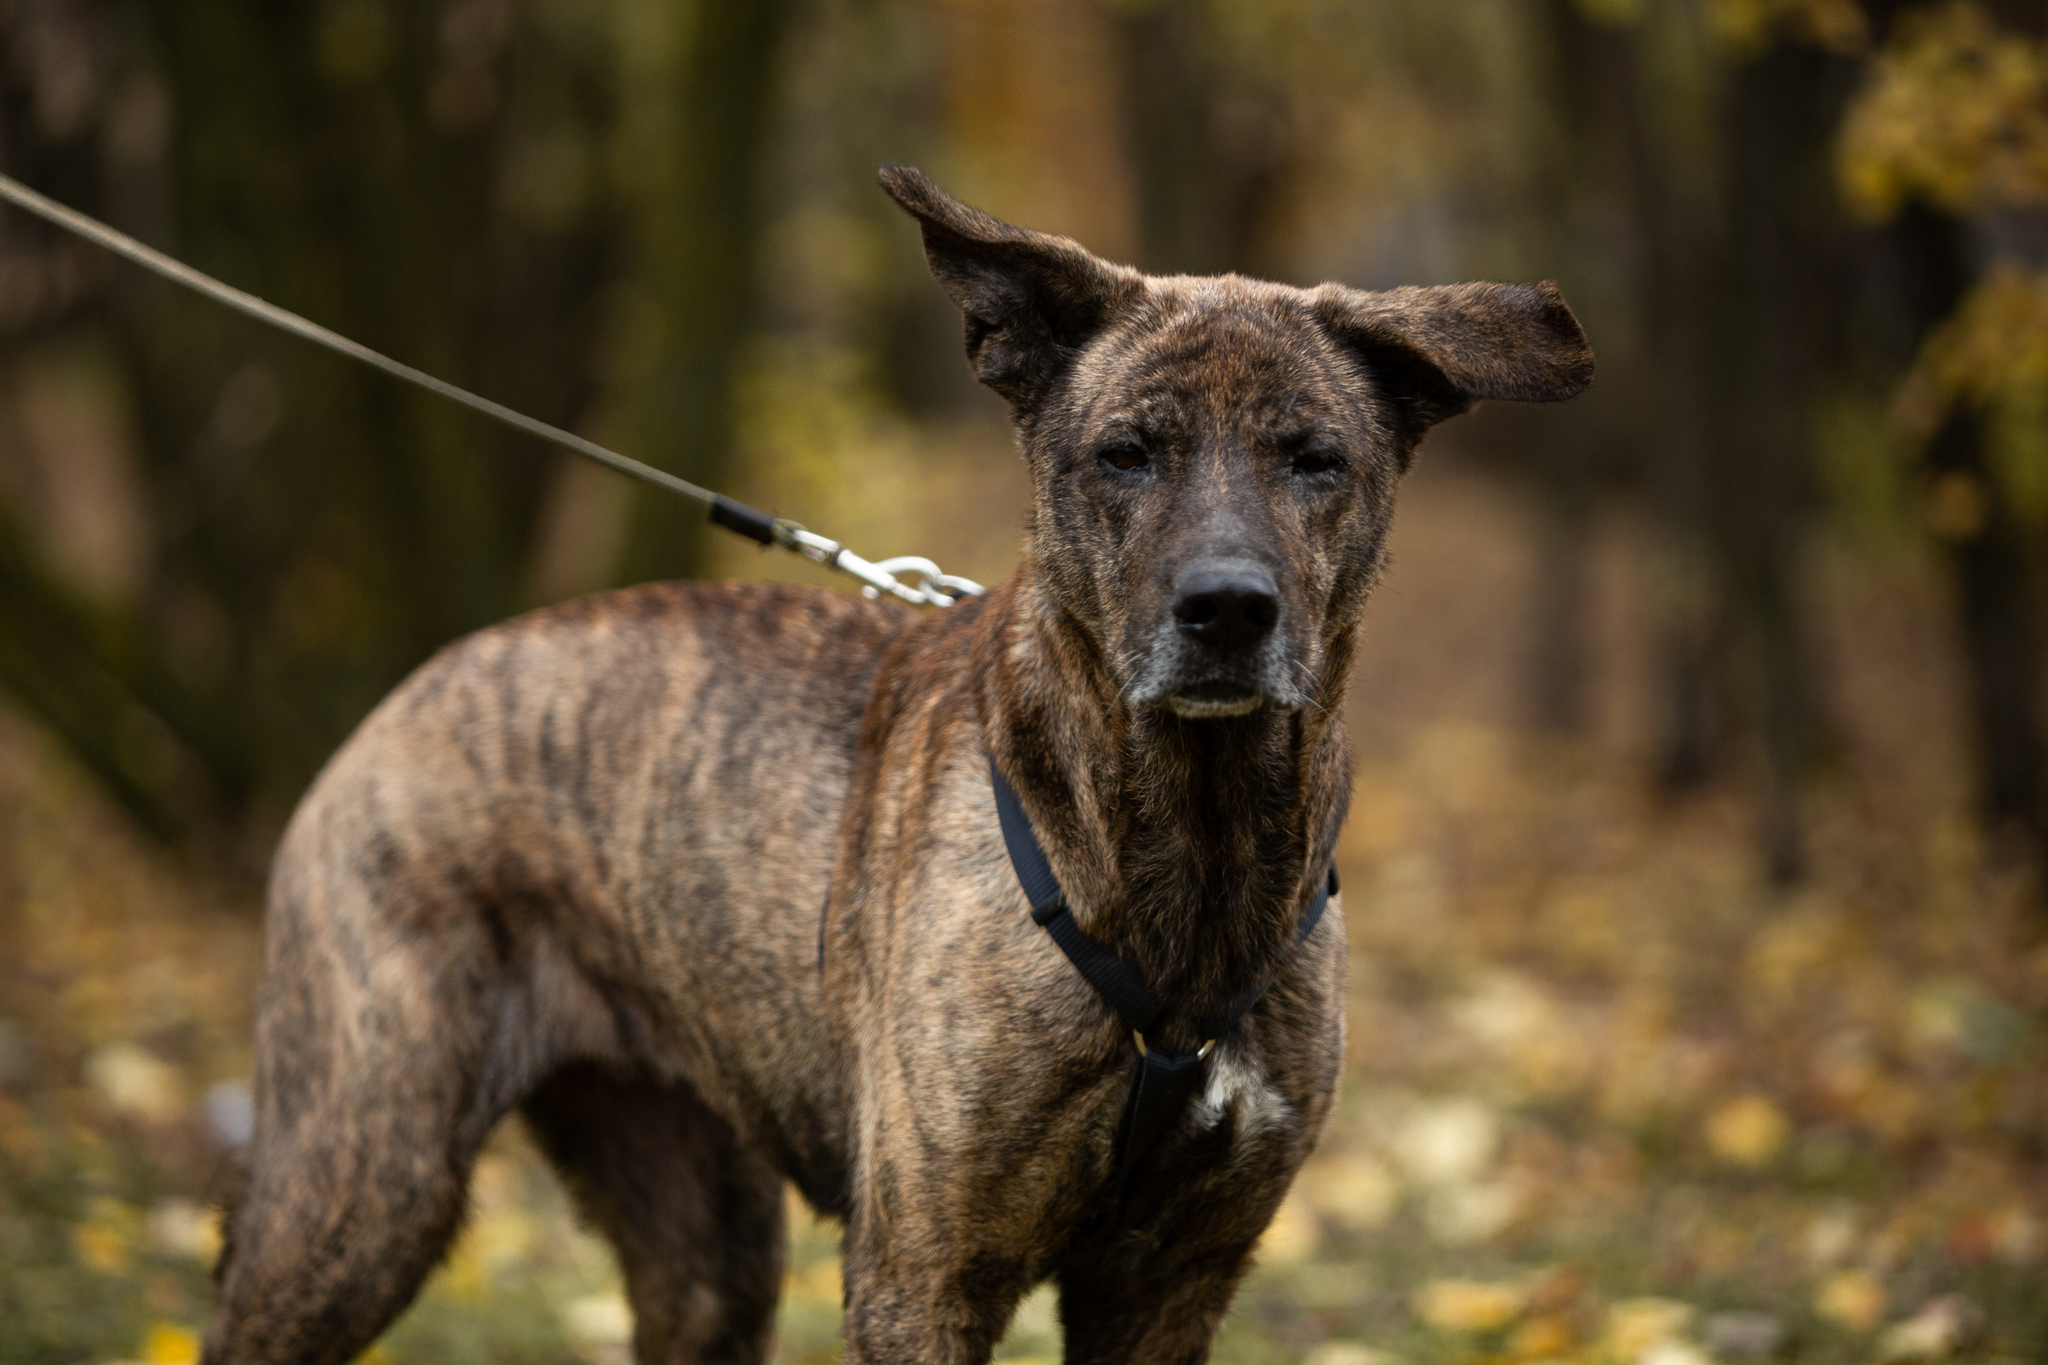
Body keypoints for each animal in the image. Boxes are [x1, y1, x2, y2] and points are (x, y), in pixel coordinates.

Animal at [199, 165, 1589, 1358]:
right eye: (1124, 452)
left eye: (1314, 457)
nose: (1227, 611)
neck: (1187, 853)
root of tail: (407, 692)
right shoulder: (924, 1274)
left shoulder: (1170, 1283)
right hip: (359, 1184)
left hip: (700, 1232)